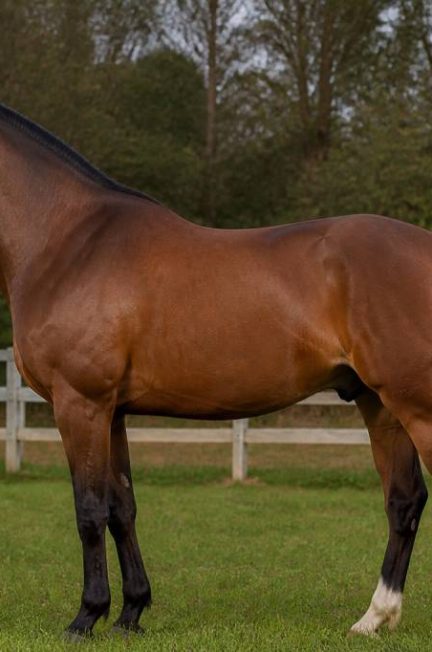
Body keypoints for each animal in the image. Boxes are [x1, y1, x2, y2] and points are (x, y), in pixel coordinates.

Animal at [0, 102, 430, 639]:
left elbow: (89, 510)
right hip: (383, 404)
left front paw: (86, 616)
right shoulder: (111, 411)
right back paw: (374, 617)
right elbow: (122, 509)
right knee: (404, 501)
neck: (66, 242)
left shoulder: (80, 403)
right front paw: (130, 613)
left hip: (417, 405)